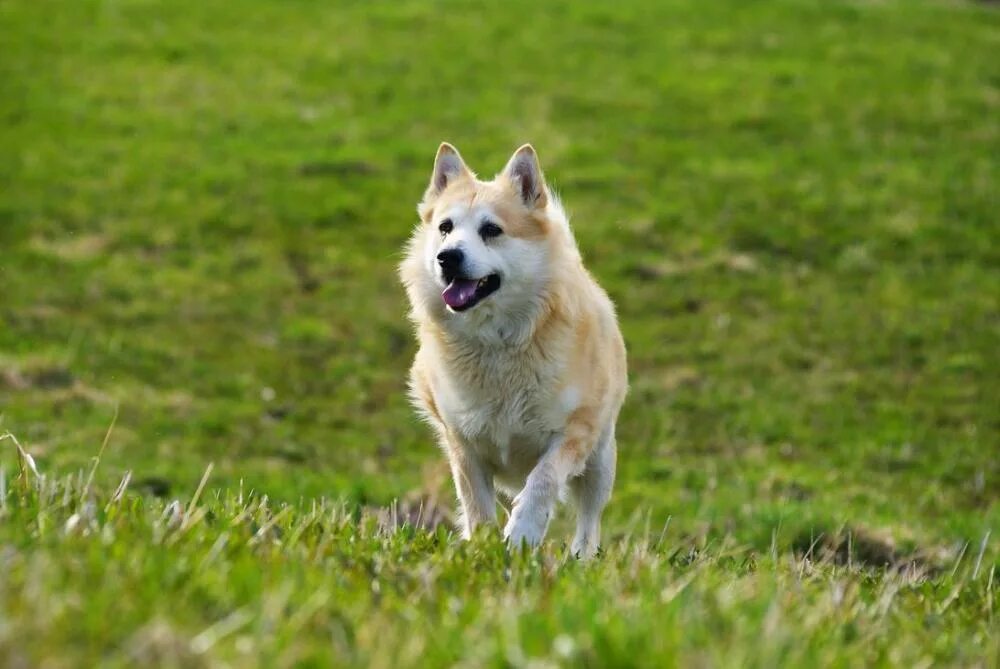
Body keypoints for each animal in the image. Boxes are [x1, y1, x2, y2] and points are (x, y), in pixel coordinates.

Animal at [398, 144, 624, 556]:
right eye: (445, 228)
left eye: (491, 230)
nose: (447, 257)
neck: (497, 342)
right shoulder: (464, 446)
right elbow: (476, 506)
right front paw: (484, 548)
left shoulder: (576, 431)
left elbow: (544, 479)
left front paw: (524, 530)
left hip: (600, 459)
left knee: (588, 518)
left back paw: (581, 557)